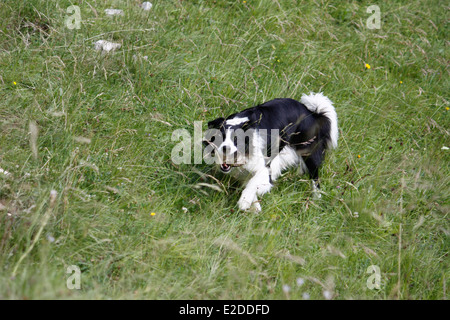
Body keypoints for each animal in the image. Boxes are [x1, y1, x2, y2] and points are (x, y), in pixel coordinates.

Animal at [204, 92, 338, 212]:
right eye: (219, 137)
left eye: (236, 139)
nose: (225, 148)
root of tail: (313, 113)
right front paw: (255, 207)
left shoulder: (265, 165)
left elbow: (254, 181)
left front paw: (244, 201)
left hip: (308, 152)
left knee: (315, 177)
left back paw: (317, 199)